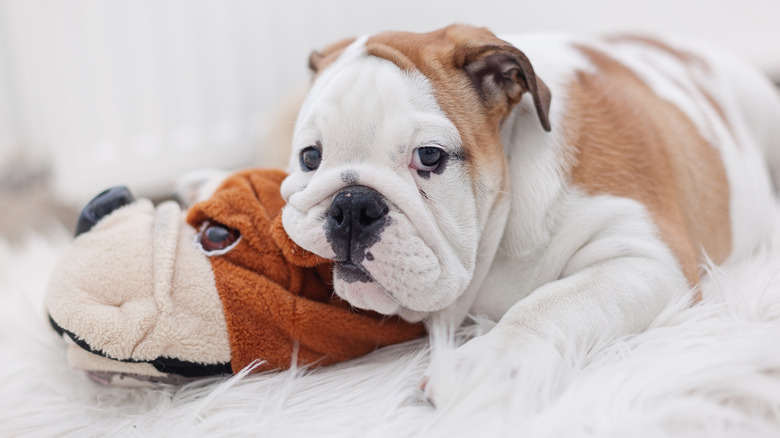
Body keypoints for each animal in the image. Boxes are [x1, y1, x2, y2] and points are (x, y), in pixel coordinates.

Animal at [280, 24, 780, 396]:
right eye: (310, 157)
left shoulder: (647, 256)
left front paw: (488, 361)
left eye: (429, 157)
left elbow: (551, 304)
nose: (352, 205)